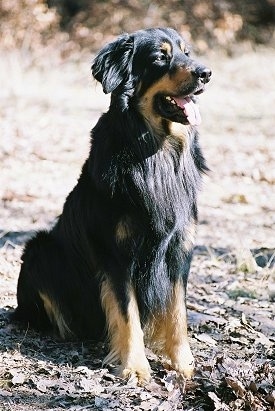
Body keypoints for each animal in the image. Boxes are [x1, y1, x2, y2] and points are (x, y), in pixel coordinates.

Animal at [14, 28, 212, 386]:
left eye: (187, 53)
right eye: (160, 57)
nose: (206, 73)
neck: (156, 150)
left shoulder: (179, 249)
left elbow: (177, 311)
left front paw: (183, 363)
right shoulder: (116, 254)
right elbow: (127, 312)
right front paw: (135, 366)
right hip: (39, 249)